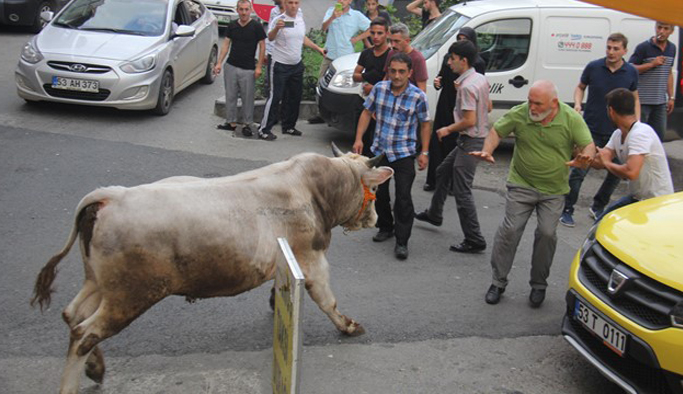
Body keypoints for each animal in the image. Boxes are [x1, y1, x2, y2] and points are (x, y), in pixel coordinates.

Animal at [33, 145, 396, 394]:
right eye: (376, 190)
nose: (376, 218)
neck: (315, 189)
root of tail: (111, 196)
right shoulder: (311, 258)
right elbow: (326, 299)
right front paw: (348, 326)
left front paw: (273, 301)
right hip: (130, 294)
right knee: (85, 333)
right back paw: (73, 382)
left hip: (98, 282)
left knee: (72, 314)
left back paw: (95, 367)